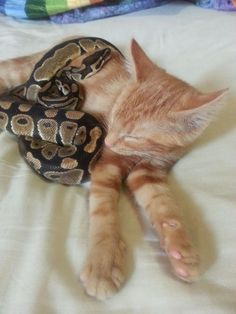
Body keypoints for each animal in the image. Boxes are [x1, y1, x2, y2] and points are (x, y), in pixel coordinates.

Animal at [0, 39, 226, 300]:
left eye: (133, 136)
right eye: (114, 116)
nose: (104, 50)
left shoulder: (151, 169)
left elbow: (165, 206)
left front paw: (183, 254)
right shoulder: (105, 163)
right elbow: (103, 212)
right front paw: (102, 267)